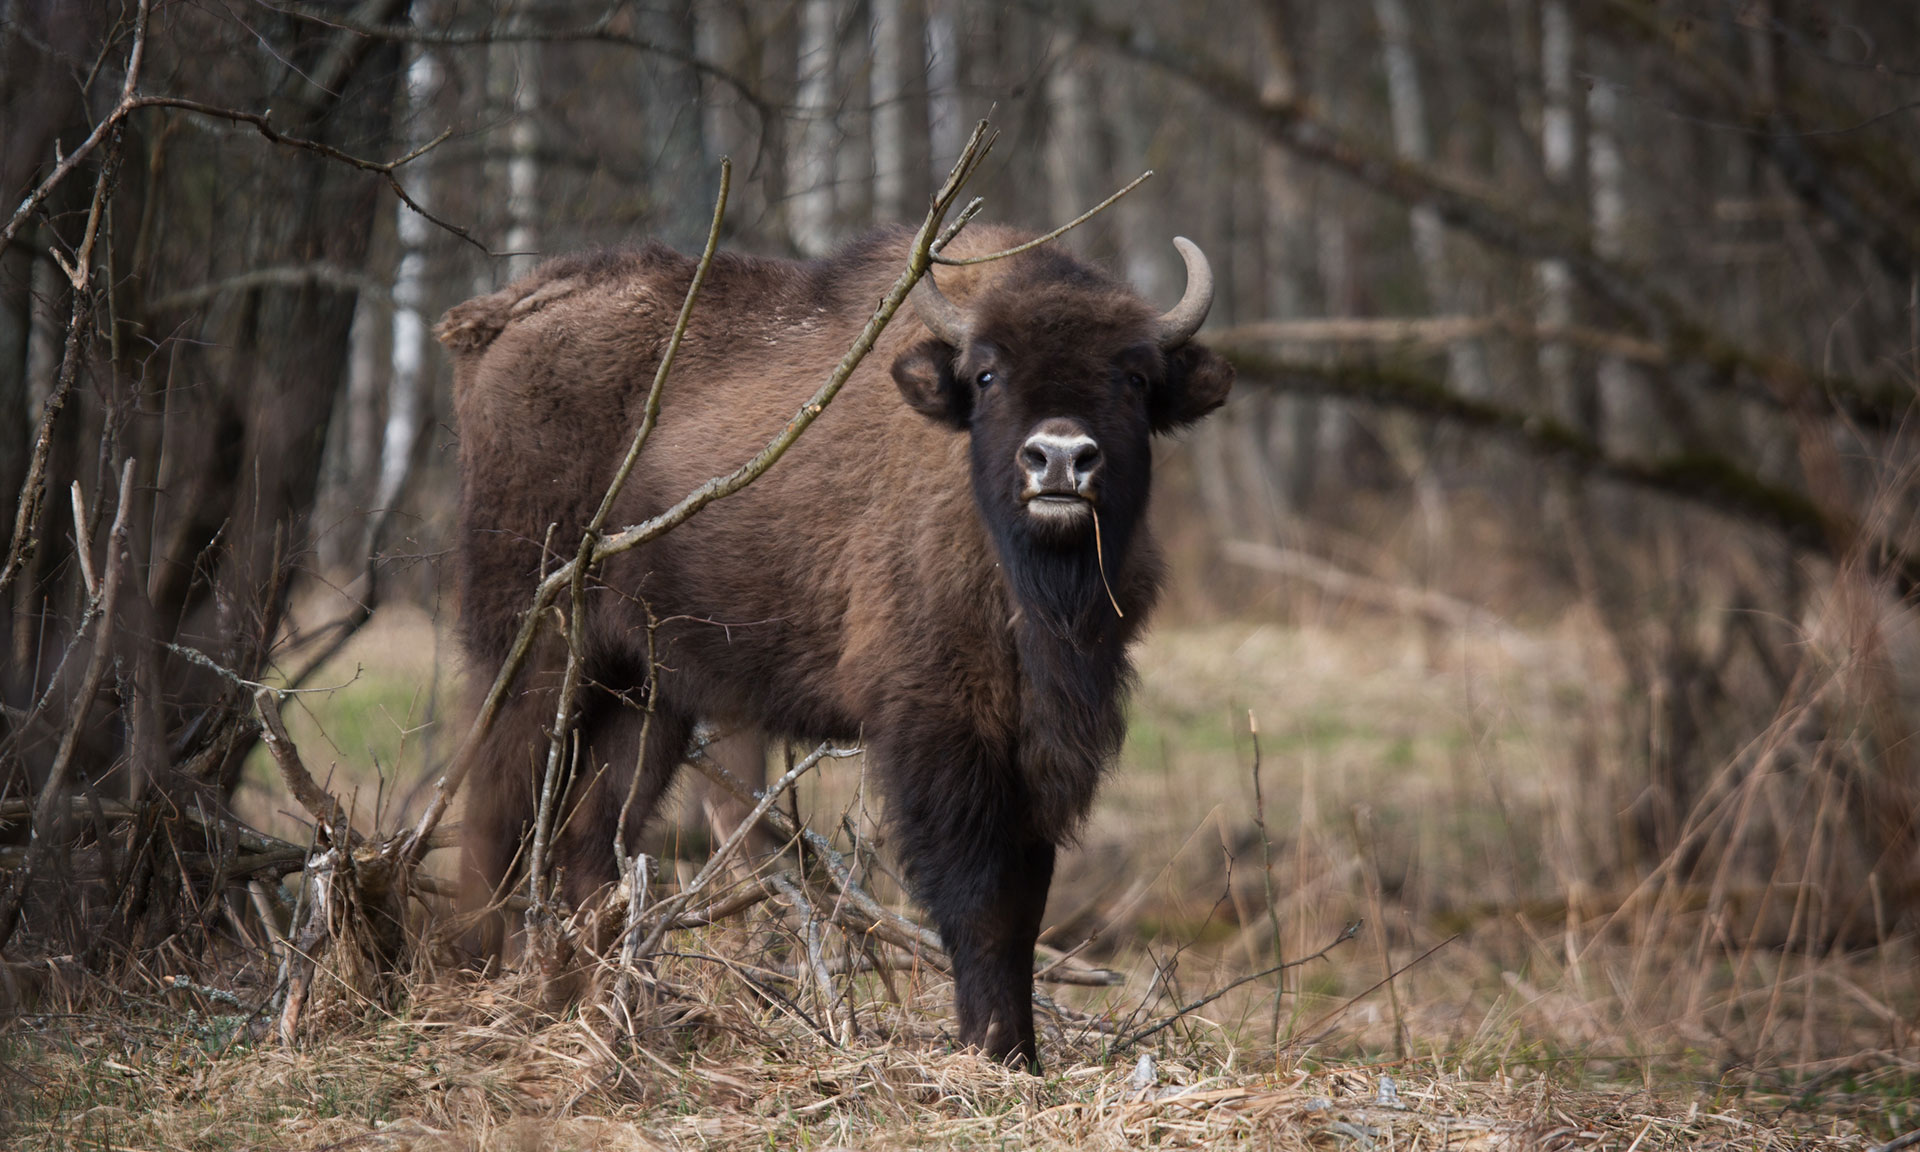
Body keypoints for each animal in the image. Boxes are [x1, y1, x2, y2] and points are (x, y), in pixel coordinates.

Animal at [439, 220, 1228, 1067]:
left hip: (645, 694)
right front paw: (992, 1050)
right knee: (497, 806)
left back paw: (604, 1005)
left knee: (594, 838)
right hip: (533, 650)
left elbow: (1025, 902)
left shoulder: (1037, 744)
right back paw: (476, 977)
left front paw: (1018, 1052)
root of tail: (505, 316)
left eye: (1136, 377)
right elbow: (980, 899)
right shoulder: (942, 728)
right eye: (987, 374)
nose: (1058, 458)